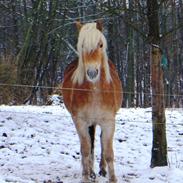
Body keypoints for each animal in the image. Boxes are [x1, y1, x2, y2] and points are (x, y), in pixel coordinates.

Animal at [61, 20, 123, 182]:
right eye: (82, 45)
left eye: (100, 45)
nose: (92, 72)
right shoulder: (80, 122)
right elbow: (85, 149)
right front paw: (86, 176)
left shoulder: (109, 122)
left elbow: (108, 152)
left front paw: (112, 178)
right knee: (91, 142)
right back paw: (92, 171)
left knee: (99, 141)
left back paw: (101, 169)